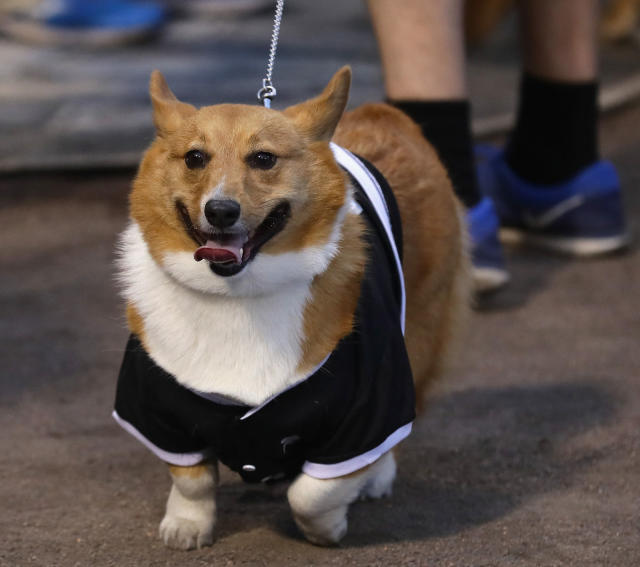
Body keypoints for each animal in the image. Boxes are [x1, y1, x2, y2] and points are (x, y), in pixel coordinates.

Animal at [112, 66, 468, 552]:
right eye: (194, 158)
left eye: (264, 159)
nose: (220, 211)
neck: (238, 296)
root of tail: (385, 115)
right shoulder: (157, 410)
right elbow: (192, 479)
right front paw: (186, 524)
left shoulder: (367, 412)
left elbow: (314, 492)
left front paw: (327, 529)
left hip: (417, 333)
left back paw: (377, 477)